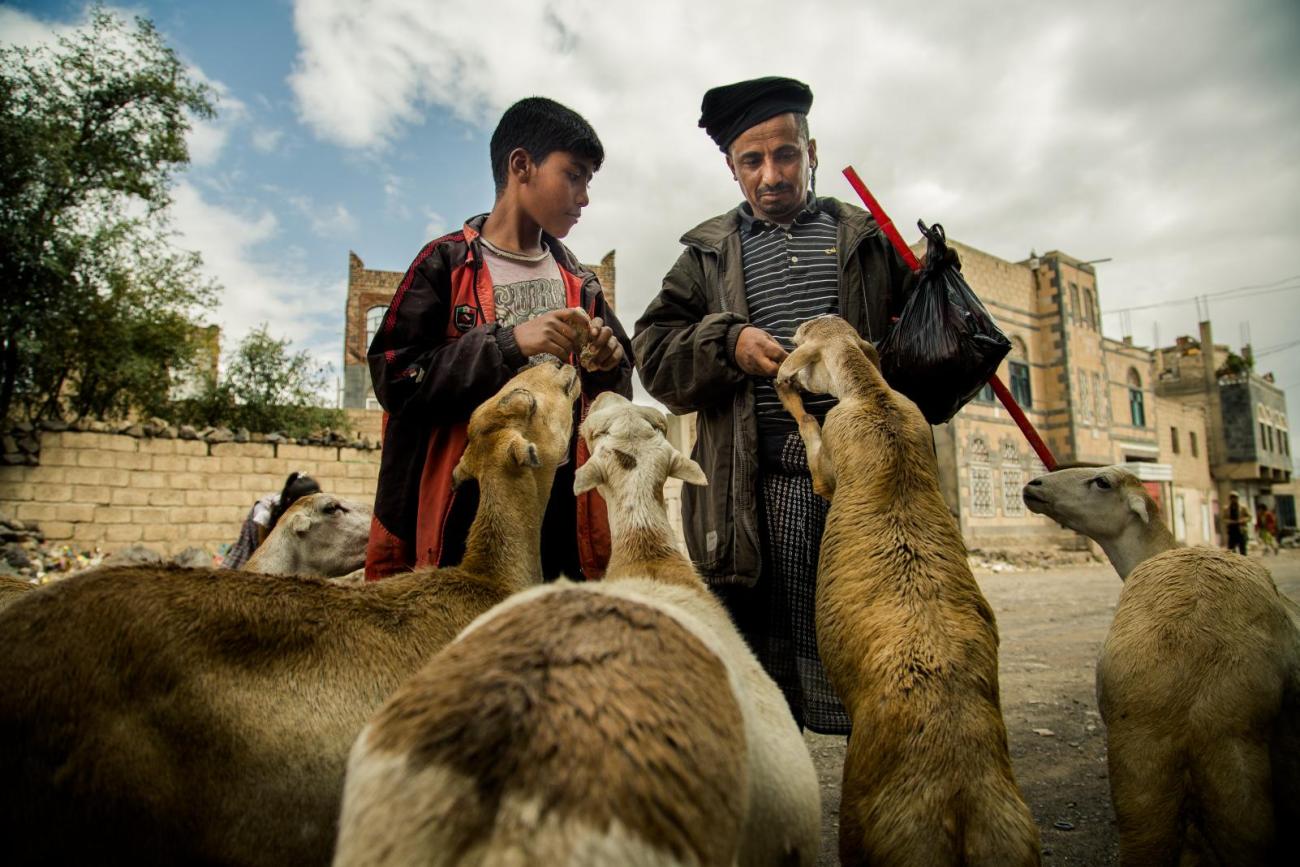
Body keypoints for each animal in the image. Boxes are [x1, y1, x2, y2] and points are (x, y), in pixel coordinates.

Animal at [774, 315, 1040, 867]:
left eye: (804, 336)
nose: (789, 333)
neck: (876, 399)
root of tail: (959, 799)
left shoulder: (828, 461)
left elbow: (810, 433)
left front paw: (786, 392)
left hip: (864, 834)